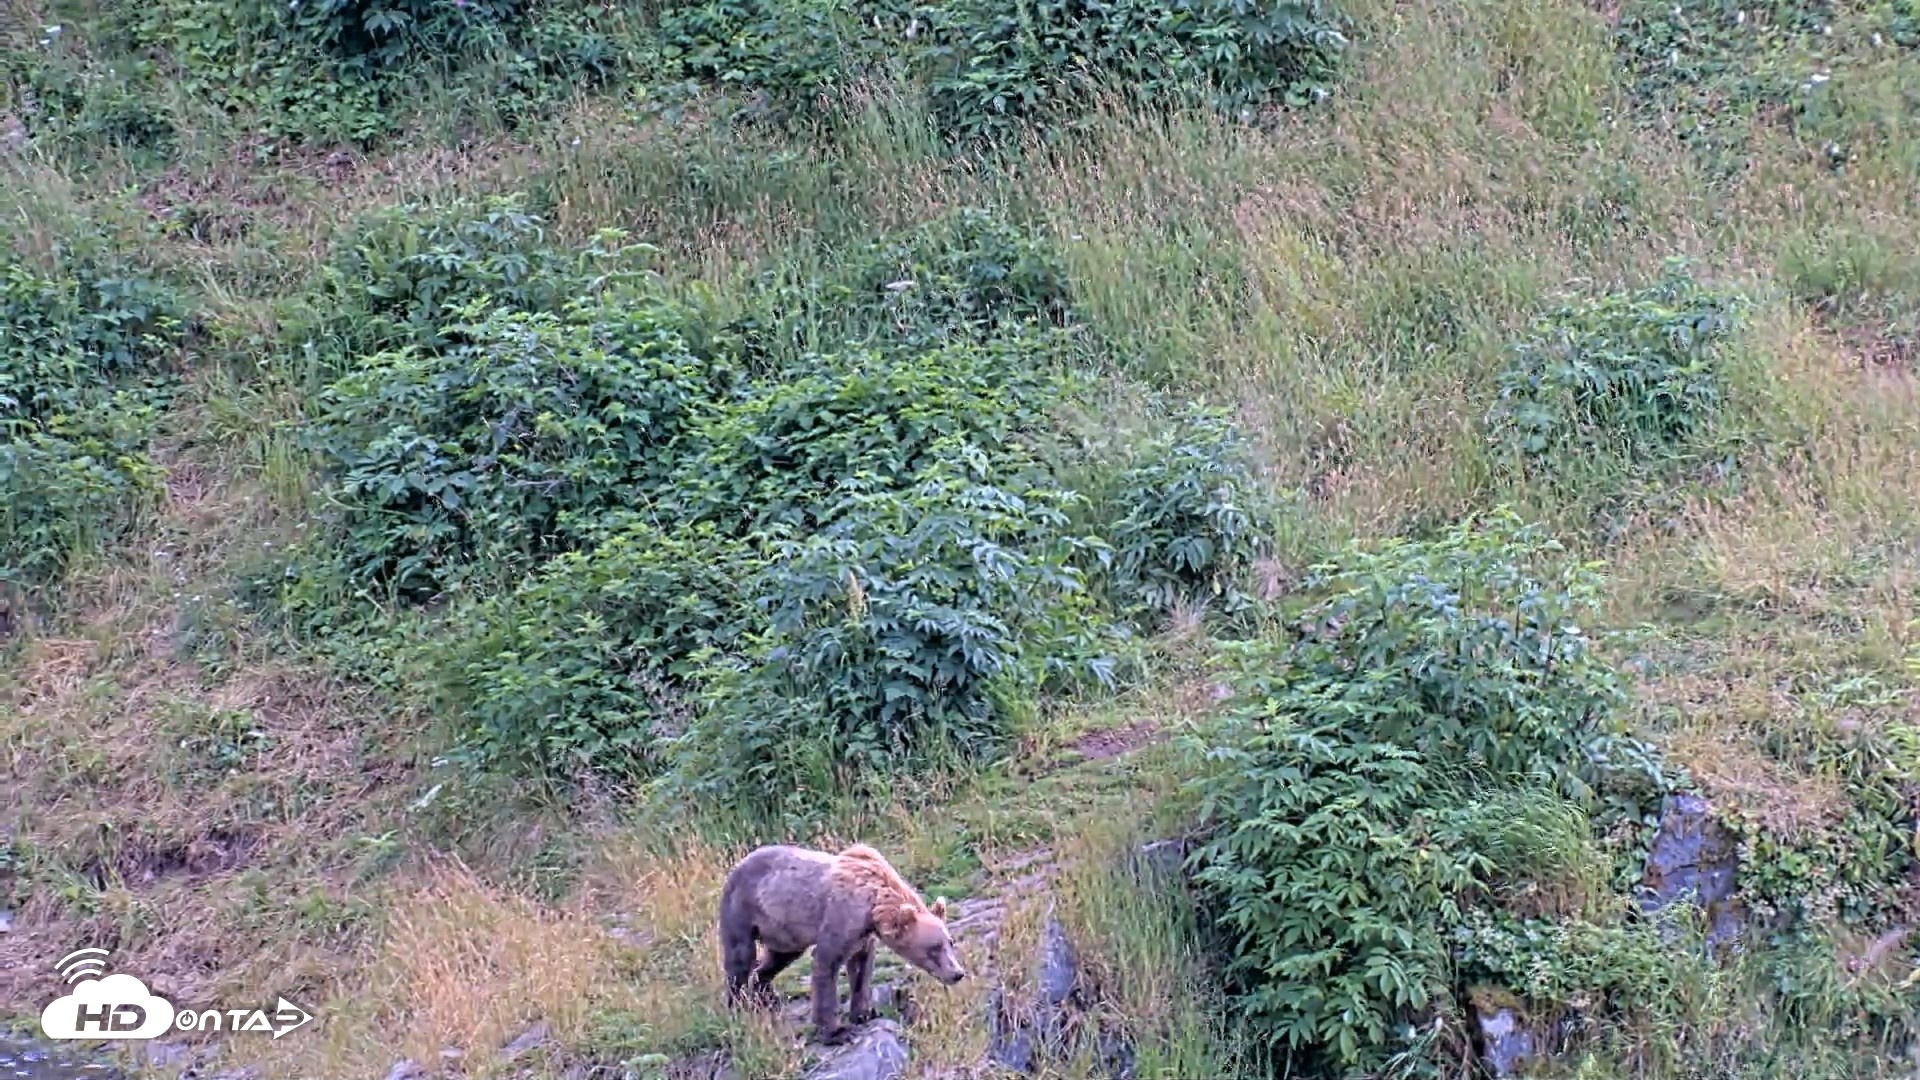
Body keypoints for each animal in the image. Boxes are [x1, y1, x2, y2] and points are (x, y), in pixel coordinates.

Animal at [717, 842, 967, 1045]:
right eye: (933, 948)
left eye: (950, 942)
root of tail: (736, 865)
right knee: (740, 958)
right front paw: (837, 1031)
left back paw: (767, 997)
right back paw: (738, 1006)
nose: (957, 973)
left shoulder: (862, 935)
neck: (874, 903)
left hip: (784, 930)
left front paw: (865, 1013)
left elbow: (861, 968)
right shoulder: (842, 916)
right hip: (741, 911)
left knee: (777, 958)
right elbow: (826, 963)